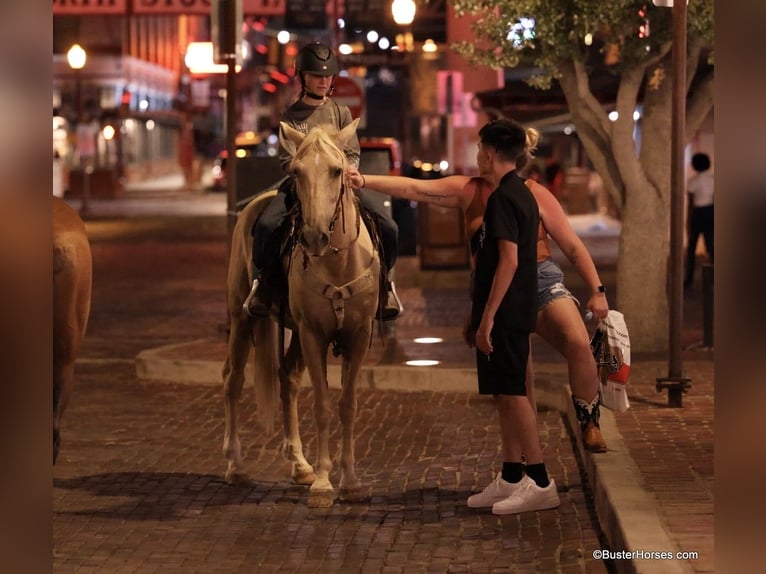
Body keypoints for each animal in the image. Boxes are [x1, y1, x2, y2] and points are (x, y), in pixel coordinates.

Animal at [220, 119, 380, 506]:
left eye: (338, 170)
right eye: (296, 171)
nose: (314, 237)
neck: (339, 263)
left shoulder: (358, 336)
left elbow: (347, 405)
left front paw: (349, 481)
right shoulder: (313, 335)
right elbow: (322, 405)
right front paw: (324, 484)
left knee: (288, 380)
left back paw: (299, 464)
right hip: (242, 318)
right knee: (233, 380)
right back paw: (236, 466)